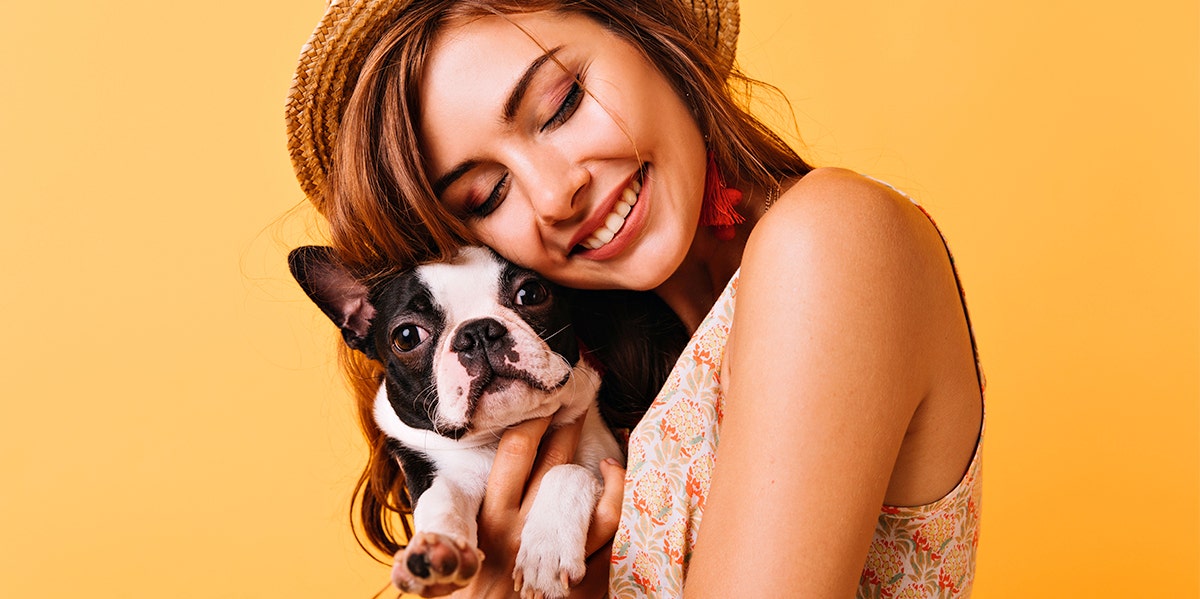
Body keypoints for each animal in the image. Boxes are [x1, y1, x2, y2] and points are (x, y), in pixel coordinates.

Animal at [288, 244, 619, 599]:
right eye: (407, 336)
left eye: (531, 293)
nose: (478, 331)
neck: (500, 434)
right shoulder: (437, 473)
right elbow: (441, 496)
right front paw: (437, 549)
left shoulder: (610, 462)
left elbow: (568, 471)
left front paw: (546, 549)